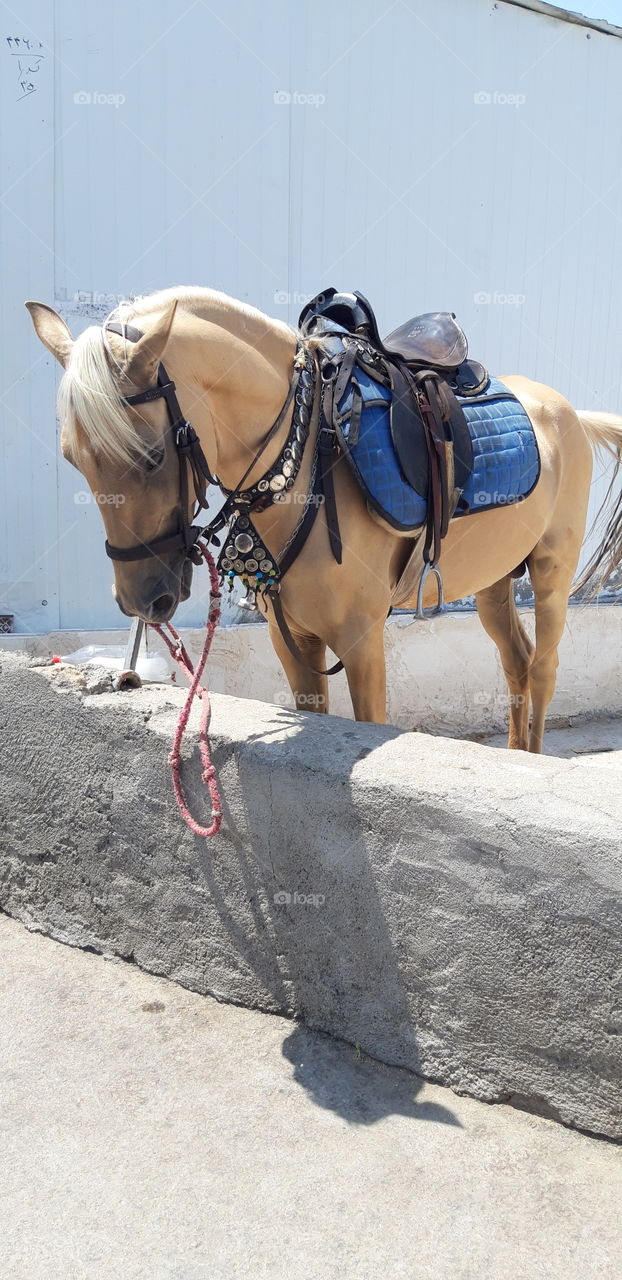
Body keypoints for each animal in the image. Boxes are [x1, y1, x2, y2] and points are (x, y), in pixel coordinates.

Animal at [26, 286, 622, 752]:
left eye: (151, 456)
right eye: (72, 458)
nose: (141, 599)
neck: (307, 454)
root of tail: (567, 412)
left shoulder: (362, 640)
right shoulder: (292, 638)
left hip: (551, 572)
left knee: (543, 668)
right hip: (495, 581)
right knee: (516, 662)